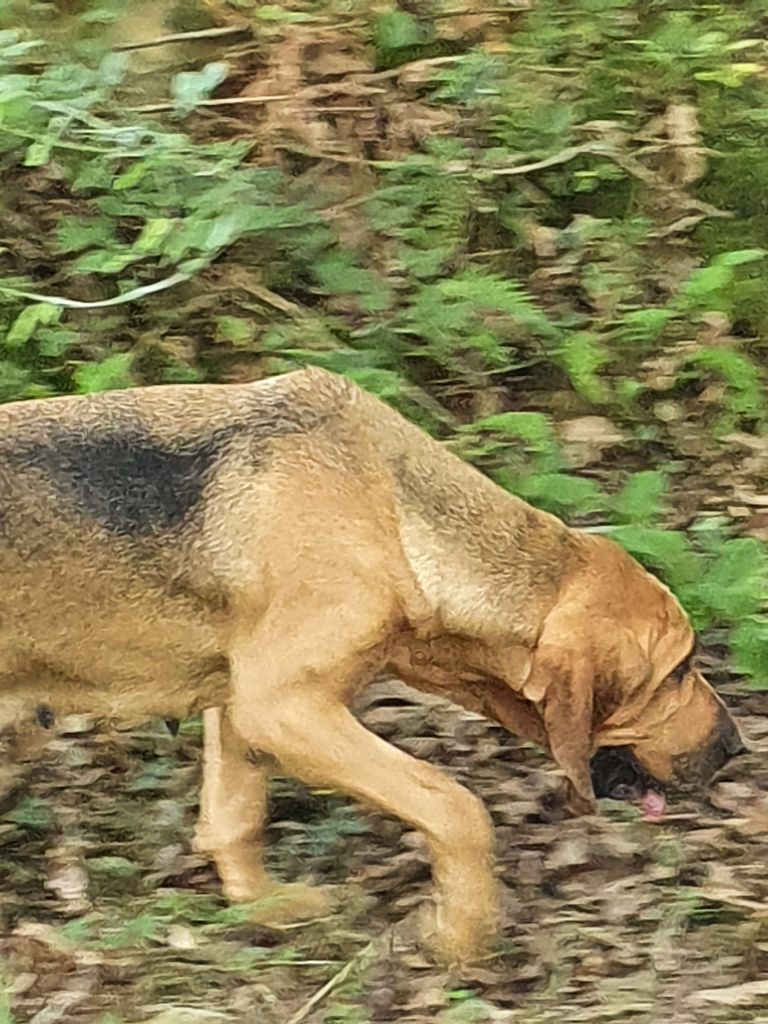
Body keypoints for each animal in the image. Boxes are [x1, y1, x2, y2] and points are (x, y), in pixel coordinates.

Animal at [0, 366, 745, 958]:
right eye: (678, 671)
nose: (737, 747)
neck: (398, 514)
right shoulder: (285, 707)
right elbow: (456, 807)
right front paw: (461, 934)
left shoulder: (242, 703)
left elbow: (234, 819)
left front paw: (265, 906)